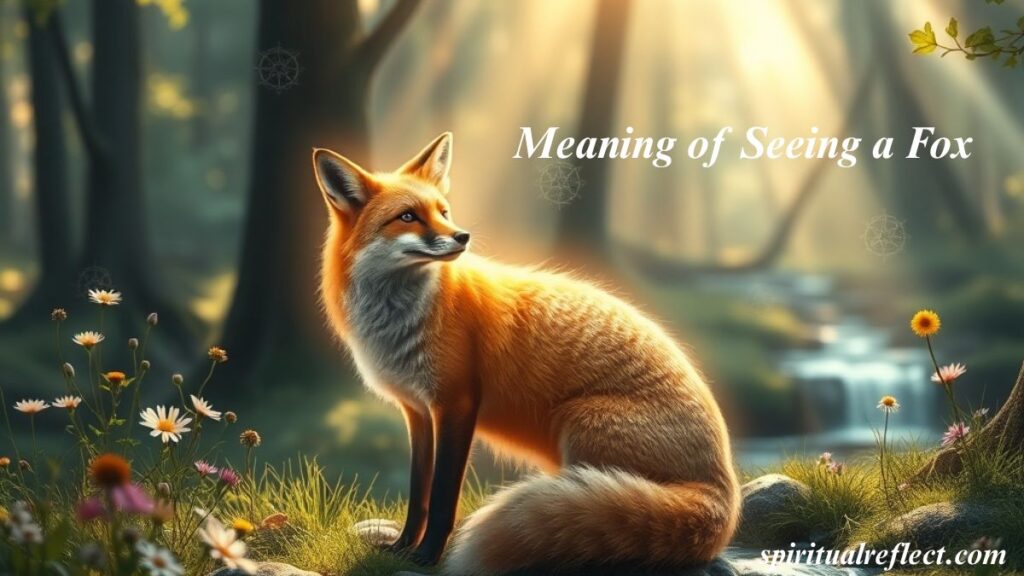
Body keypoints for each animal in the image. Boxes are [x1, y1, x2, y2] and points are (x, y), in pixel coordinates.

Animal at [312, 132, 740, 575]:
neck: (400, 320)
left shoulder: (456, 403)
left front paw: (427, 558)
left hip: (579, 420)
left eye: (444, 211)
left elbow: (444, 496)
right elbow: (419, 495)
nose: (463, 236)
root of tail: (724, 490)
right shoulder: (417, 411)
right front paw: (400, 548)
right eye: (408, 216)